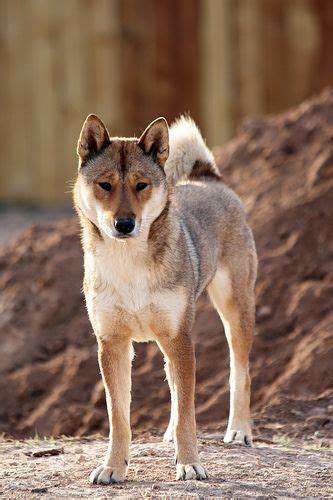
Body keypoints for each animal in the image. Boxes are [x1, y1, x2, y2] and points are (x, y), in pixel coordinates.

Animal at [73, 114, 256, 484]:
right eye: (105, 185)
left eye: (141, 185)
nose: (124, 224)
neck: (128, 264)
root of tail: (208, 180)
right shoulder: (113, 343)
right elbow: (119, 417)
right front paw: (113, 467)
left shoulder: (178, 338)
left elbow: (189, 413)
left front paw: (189, 463)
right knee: (174, 385)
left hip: (234, 314)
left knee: (239, 372)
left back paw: (239, 431)